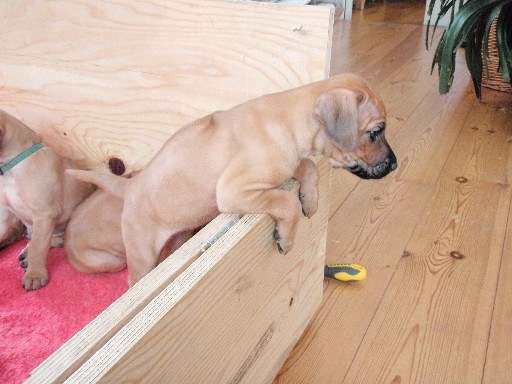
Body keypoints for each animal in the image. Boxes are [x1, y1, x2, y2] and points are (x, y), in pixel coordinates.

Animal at [68, 73, 396, 286]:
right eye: (375, 133)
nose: (394, 165)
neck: (289, 122)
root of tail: (130, 185)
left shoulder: (287, 162)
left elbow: (307, 168)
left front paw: (310, 199)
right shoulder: (233, 191)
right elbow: (285, 201)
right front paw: (287, 237)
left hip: (179, 234)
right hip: (139, 252)